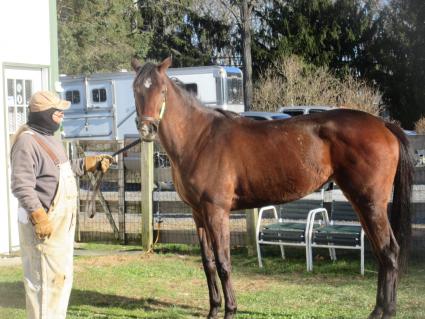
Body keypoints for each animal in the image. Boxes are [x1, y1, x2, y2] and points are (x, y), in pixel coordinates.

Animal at [132, 57, 410, 319]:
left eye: (162, 90)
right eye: (136, 89)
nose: (147, 129)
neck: (200, 139)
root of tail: (384, 125)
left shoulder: (216, 211)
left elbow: (223, 262)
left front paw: (230, 310)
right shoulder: (198, 214)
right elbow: (208, 262)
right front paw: (213, 310)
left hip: (371, 203)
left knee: (389, 251)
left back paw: (388, 311)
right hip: (360, 203)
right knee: (381, 253)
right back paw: (377, 310)